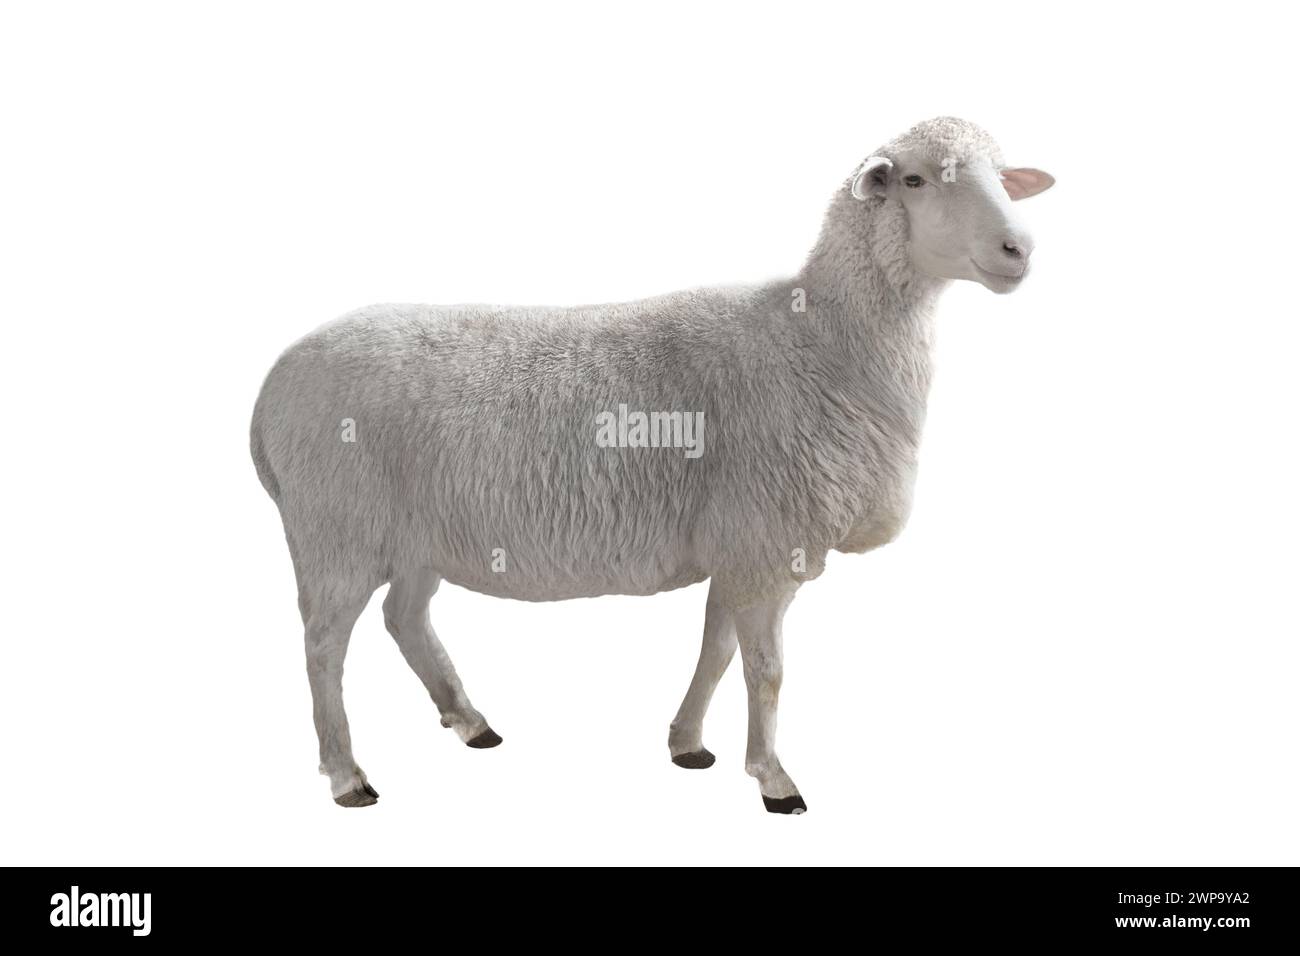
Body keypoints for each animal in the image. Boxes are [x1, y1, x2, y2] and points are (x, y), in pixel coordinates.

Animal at [251, 116, 1054, 813]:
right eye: (914, 180)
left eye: (1002, 176)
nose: (1019, 249)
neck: (819, 339)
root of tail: (272, 385)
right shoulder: (767, 543)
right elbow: (767, 671)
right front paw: (774, 779)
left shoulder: (737, 546)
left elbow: (716, 649)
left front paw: (688, 743)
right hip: (335, 531)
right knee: (323, 646)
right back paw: (347, 774)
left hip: (416, 535)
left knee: (405, 619)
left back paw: (471, 721)